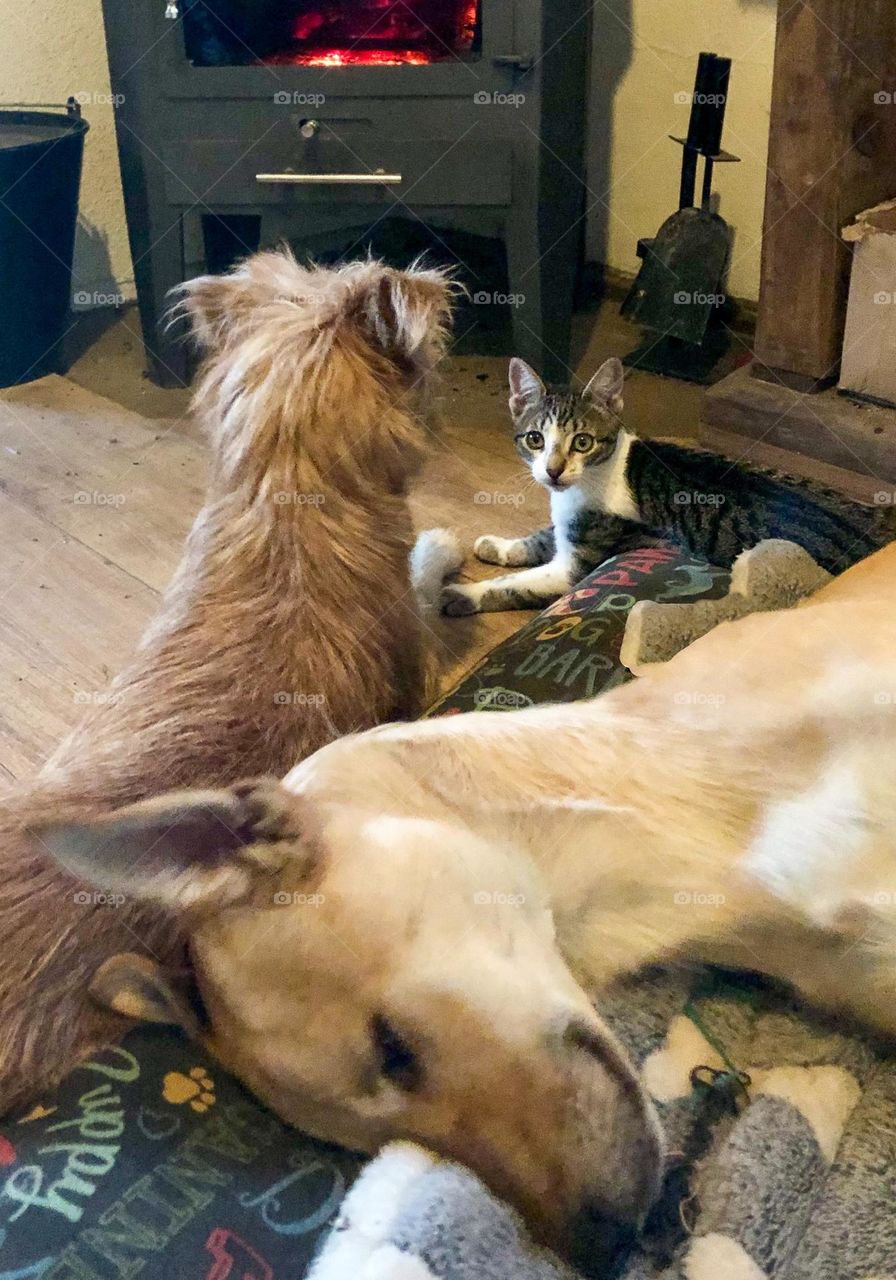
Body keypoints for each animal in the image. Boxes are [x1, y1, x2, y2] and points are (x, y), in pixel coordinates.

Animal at [442, 358, 896, 616]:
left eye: (582, 442)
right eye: (535, 439)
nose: (553, 471)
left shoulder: (580, 561)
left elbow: (516, 584)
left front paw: (462, 595)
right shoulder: (570, 523)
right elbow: (541, 536)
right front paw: (497, 546)